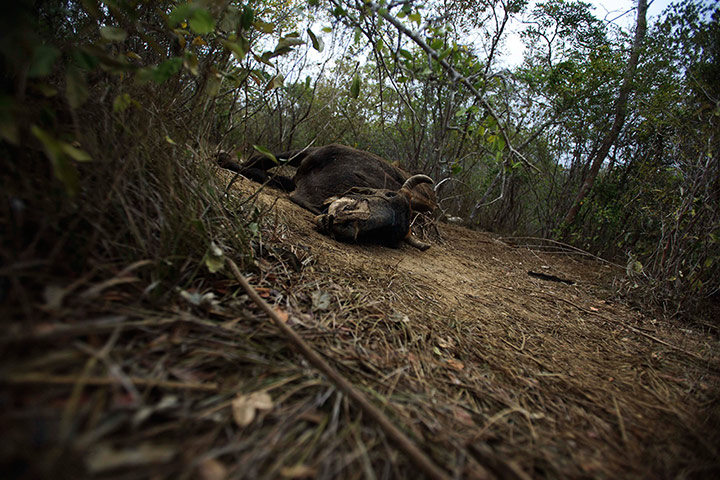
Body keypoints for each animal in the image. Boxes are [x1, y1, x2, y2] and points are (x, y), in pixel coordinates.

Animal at [217, 144, 436, 250]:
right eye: (389, 195)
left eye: (385, 235)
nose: (345, 225)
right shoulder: (309, 152)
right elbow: (261, 159)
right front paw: (224, 157)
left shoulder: (295, 186)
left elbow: (260, 173)